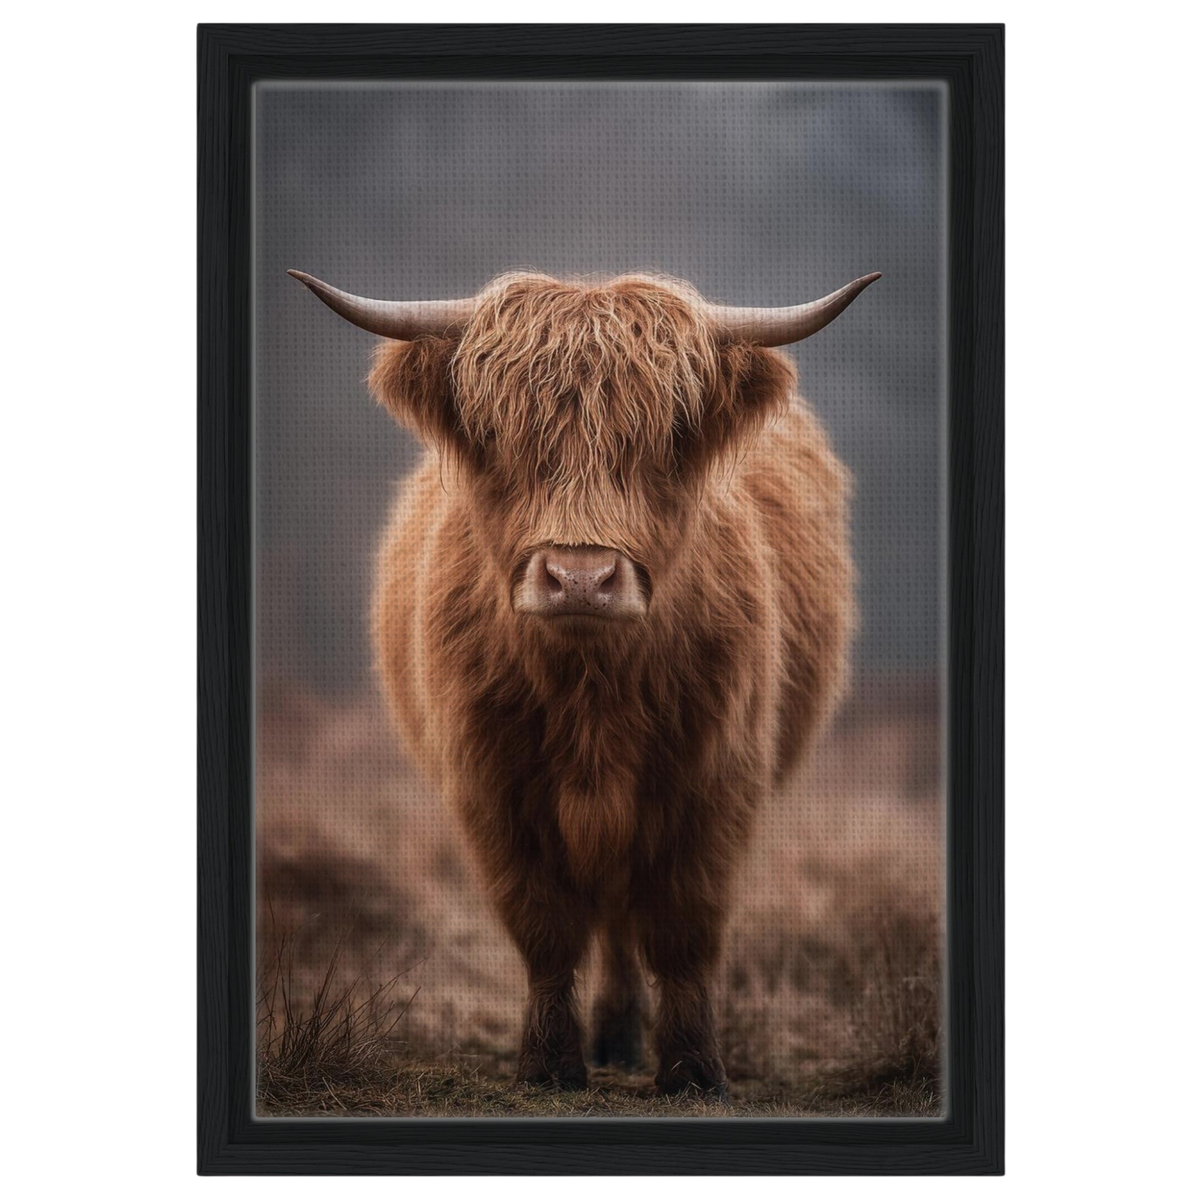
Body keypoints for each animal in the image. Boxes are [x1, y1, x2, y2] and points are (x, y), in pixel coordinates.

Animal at [288, 267, 878, 1099]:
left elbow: (683, 929)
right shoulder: (494, 788)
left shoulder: (715, 781)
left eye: (667, 440)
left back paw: (625, 1039)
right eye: (502, 437)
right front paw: (548, 1064)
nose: (580, 578)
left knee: (626, 919)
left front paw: (694, 1070)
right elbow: (545, 928)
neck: (592, 693)